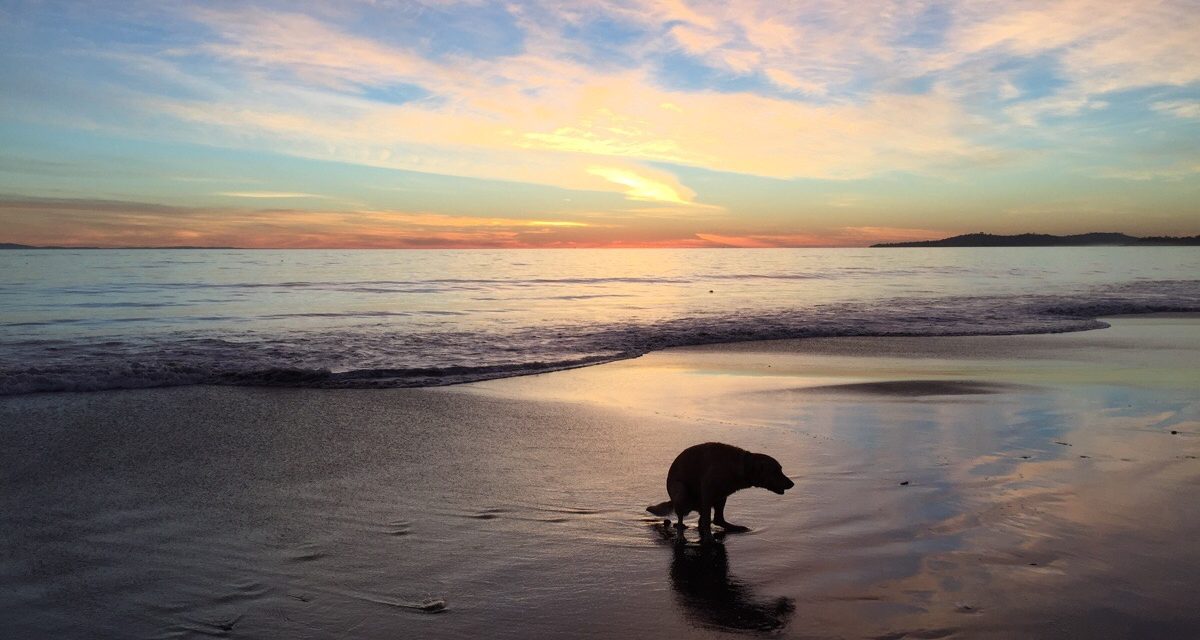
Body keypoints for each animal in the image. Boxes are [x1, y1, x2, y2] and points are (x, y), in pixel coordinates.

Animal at [648, 441, 796, 540]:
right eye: (776, 471)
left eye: (780, 469)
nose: (792, 484)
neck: (742, 466)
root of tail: (672, 500)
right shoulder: (707, 491)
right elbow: (706, 520)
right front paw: (708, 538)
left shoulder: (715, 496)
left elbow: (708, 520)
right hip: (681, 491)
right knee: (683, 519)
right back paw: (680, 534)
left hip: (721, 497)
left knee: (716, 519)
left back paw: (735, 527)